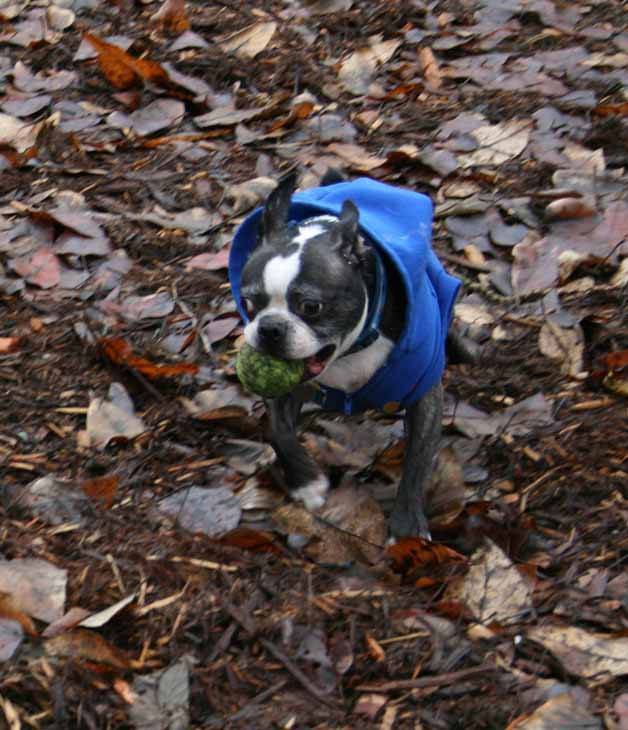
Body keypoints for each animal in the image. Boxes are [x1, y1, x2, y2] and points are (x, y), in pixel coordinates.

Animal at [228, 171, 464, 536]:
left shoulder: (424, 393)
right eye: (249, 302)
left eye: (311, 307)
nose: (270, 328)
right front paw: (307, 483)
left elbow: (418, 460)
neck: (349, 352)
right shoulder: (285, 392)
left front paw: (406, 526)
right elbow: (278, 431)